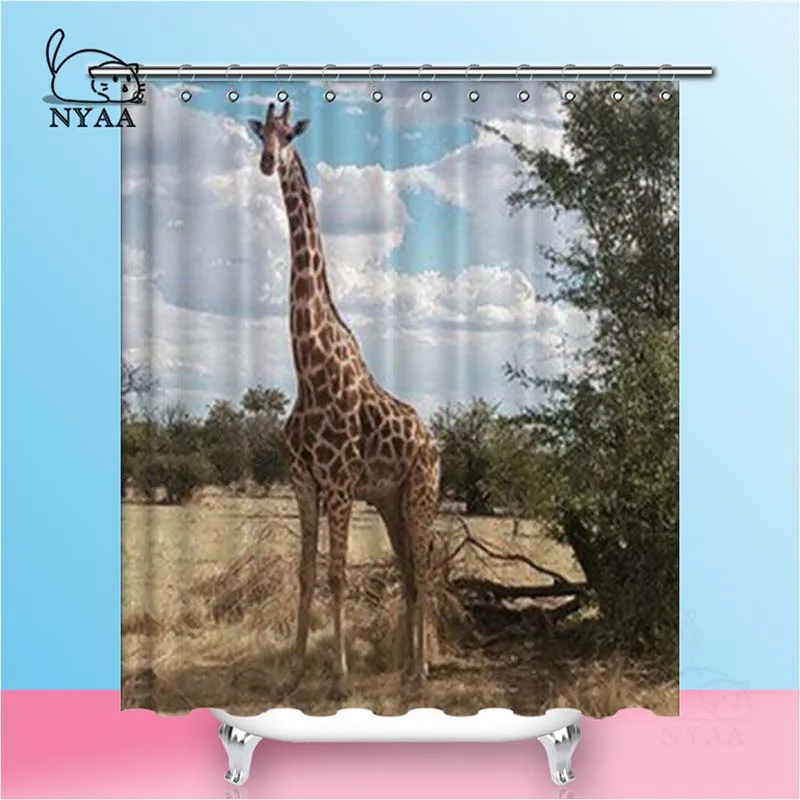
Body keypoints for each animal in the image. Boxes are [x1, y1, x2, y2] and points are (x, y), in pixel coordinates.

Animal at [248, 101, 441, 698]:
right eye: (260, 134)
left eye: (289, 133)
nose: (268, 162)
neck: (309, 370)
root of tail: (433, 441)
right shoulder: (303, 479)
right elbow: (307, 573)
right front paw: (292, 672)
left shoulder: (337, 482)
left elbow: (336, 576)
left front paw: (339, 679)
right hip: (391, 499)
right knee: (407, 569)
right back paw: (409, 667)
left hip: (422, 492)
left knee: (424, 568)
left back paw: (423, 672)